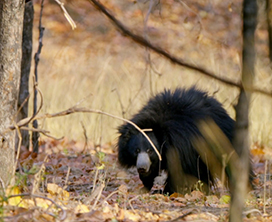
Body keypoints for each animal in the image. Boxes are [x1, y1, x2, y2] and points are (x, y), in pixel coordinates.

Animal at [117, 86, 251, 194]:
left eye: (150, 151)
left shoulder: (182, 145)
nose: (142, 168)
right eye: (136, 151)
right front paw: (146, 186)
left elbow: (180, 172)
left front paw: (165, 191)